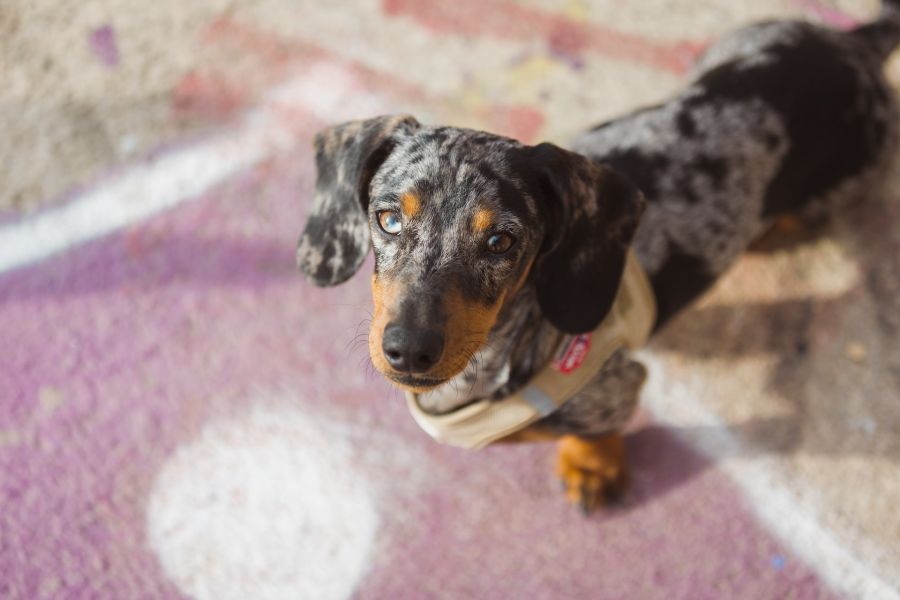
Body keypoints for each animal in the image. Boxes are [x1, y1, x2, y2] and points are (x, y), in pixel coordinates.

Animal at [298, 2, 900, 512]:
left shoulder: (615, 386)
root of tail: (854, 46)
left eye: (502, 242)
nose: (409, 351)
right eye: (388, 218)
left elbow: (596, 429)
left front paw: (592, 467)